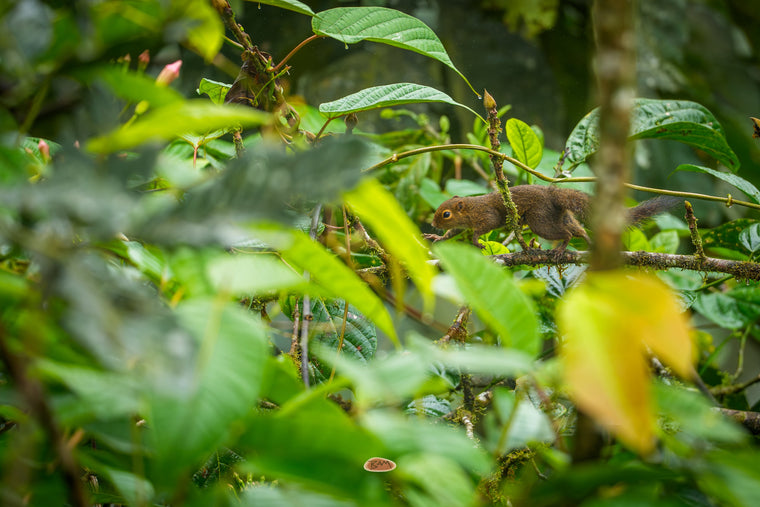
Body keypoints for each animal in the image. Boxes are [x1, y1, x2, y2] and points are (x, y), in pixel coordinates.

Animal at [425, 184, 681, 251]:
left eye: (446, 214)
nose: (433, 223)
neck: (469, 208)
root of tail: (553, 194)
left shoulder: (486, 216)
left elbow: (483, 227)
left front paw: (476, 241)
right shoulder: (462, 226)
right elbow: (452, 234)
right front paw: (436, 237)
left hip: (541, 221)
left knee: (566, 233)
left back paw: (562, 247)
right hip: (560, 217)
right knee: (579, 229)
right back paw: (588, 242)